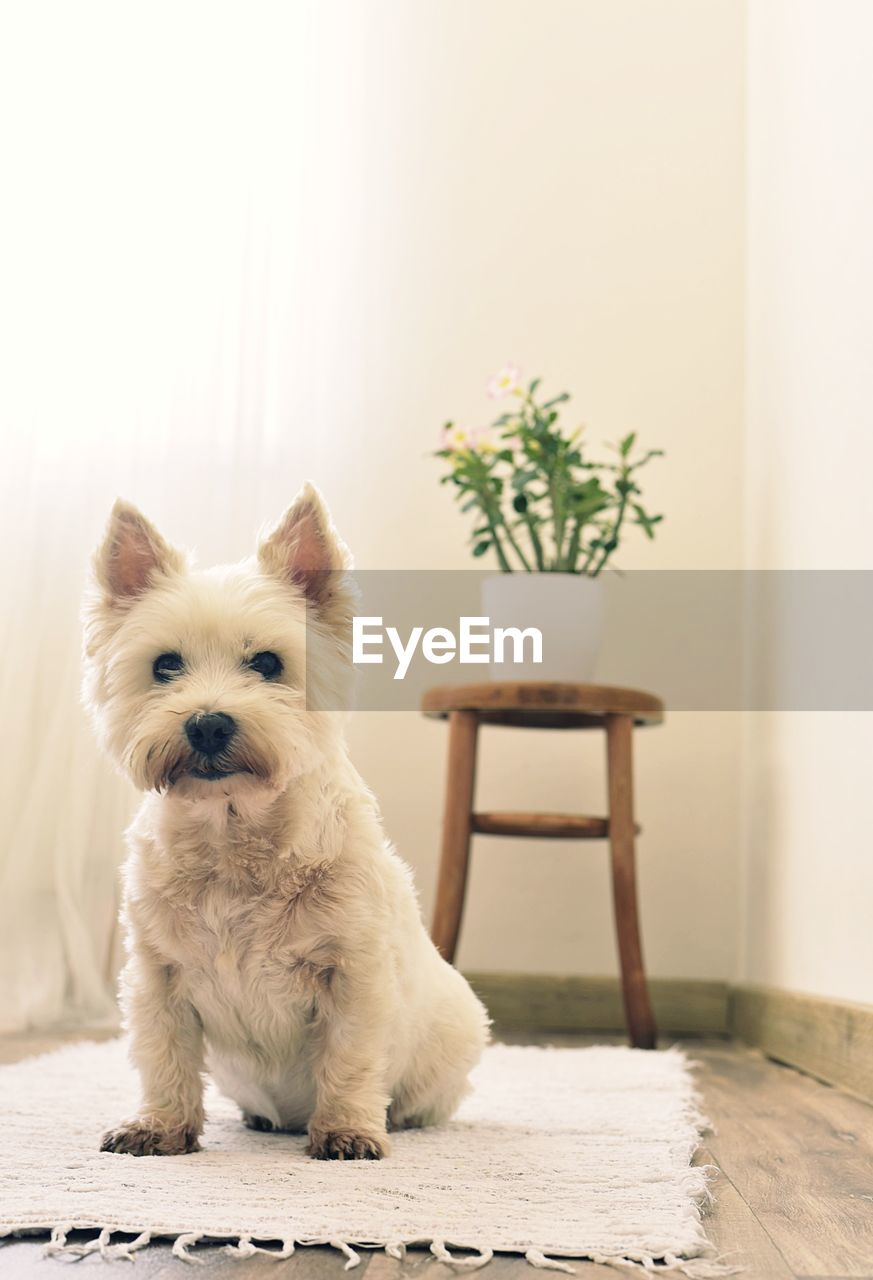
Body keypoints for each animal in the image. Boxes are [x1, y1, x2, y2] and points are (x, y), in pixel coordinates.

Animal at [82, 486, 486, 1162]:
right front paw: (159, 1127)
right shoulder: (157, 975)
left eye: (268, 662)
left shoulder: (353, 973)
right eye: (165, 665)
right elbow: (164, 1055)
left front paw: (347, 1131)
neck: (233, 836)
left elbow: (349, 1057)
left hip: (457, 1032)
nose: (208, 724)